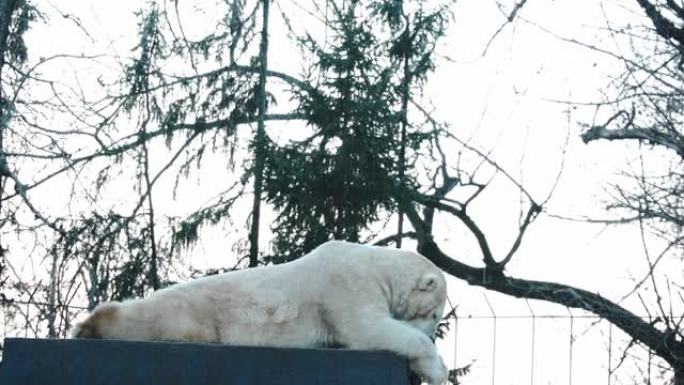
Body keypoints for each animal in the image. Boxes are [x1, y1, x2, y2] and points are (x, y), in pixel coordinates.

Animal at [73, 240, 448, 380]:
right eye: (434, 315)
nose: (432, 331)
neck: (375, 264)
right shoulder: (346, 284)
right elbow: (366, 327)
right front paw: (438, 370)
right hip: (192, 311)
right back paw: (92, 324)